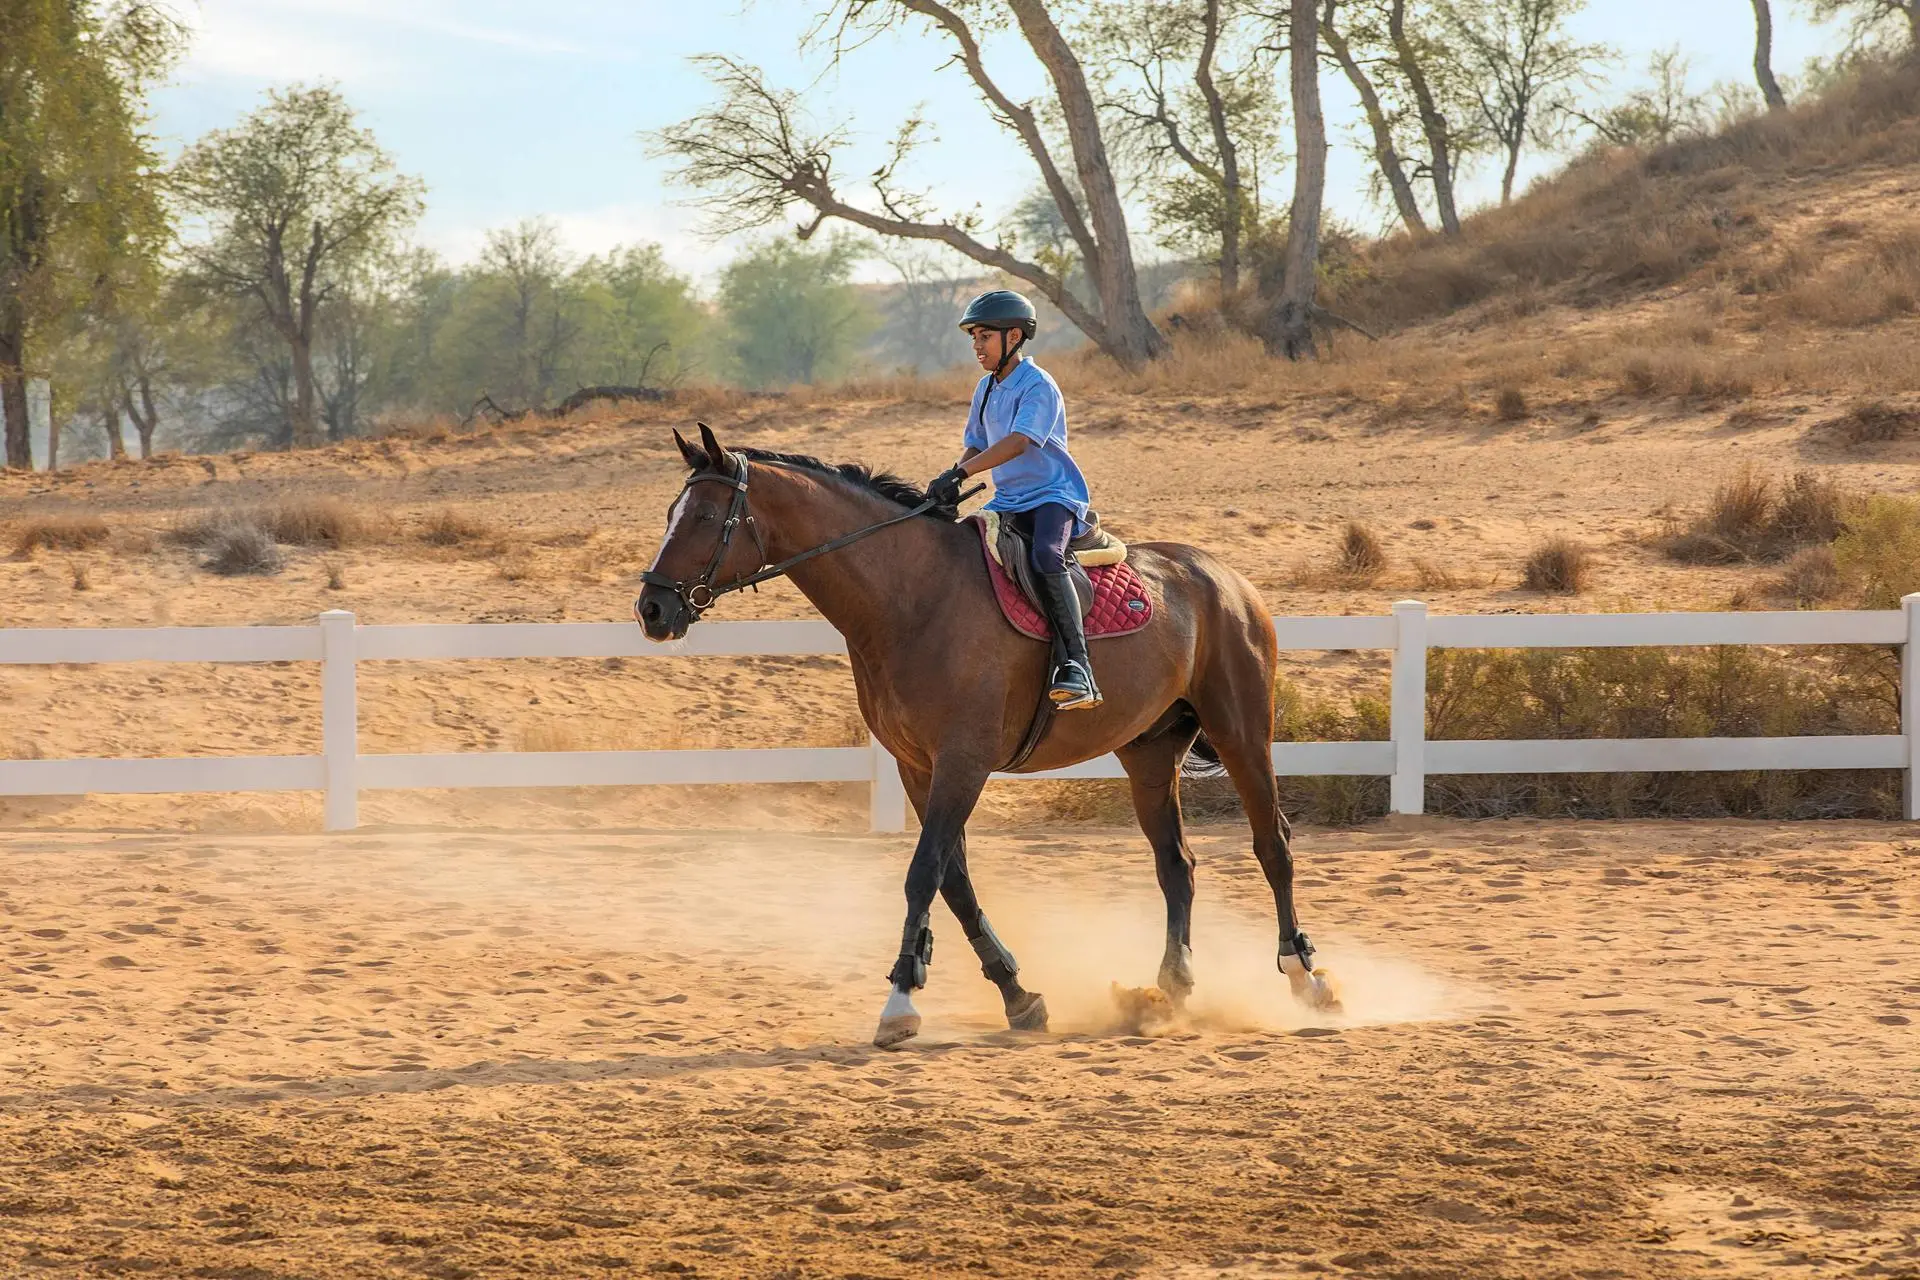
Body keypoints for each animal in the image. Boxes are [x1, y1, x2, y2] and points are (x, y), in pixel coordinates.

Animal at [629, 426, 1336, 1043]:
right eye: (670, 512)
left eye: (702, 517)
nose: (653, 609)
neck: (911, 597)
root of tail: (1226, 578)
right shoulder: (919, 767)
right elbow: (955, 883)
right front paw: (1018, 996)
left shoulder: (962, 763)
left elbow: (923, 875)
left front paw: (900, 1002)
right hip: (1149, 753)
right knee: (1176, 865)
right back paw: (1171, 987)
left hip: (1242, 733)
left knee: (1273, 845)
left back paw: (1306, 978)